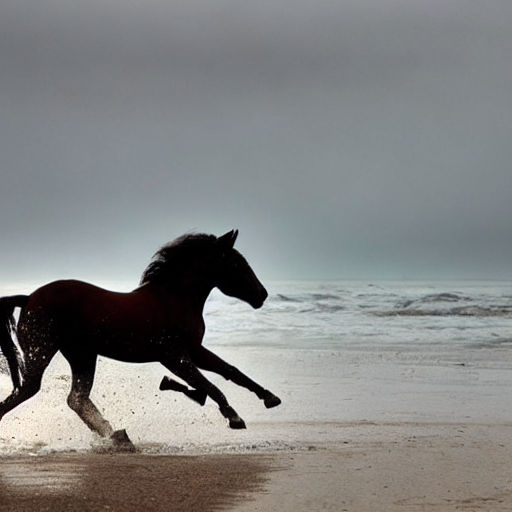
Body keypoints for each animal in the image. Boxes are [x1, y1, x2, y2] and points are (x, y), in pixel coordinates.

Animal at [0, 230, 280, 450]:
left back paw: (118, 437)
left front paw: (270, 397)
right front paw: (234, 417)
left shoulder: (194, 351)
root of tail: (28, 298)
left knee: (77, 399)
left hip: (83, 355)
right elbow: (210, 385)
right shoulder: (173, 357)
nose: (262, 295)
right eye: (237, 264)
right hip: (44, 353)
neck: (174, 300)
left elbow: (230, 372)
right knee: (29, 392)